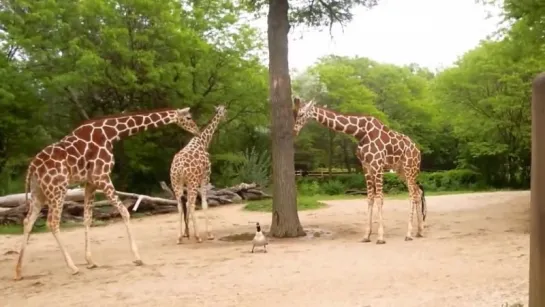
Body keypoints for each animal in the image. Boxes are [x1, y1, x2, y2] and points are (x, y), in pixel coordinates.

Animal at [15, 106, 201, 282]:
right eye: (188, 117)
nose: (197, 131)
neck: (112, 134)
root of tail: (32, 167)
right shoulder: (102, 177)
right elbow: (125, 212)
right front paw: (137, 258)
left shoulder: (90, 182)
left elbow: (87, 219)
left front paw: (90, 261)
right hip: (57, 189)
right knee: (52, 222)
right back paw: (73, 267)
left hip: (39, 192)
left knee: (28, 221)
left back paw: (18, 272)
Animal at [169, 104, 226, 244]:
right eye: (225, 111)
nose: (225, 118)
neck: (203, 141)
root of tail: (178, 167)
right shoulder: (205, 176)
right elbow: (204, 203)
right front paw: (209, 234)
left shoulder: (187, 183)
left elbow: (186, 205)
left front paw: (186, 233)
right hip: (193, 181)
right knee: (192, 204)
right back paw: (198, 236)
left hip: (176, 183)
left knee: (180, 206)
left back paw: (179, 237)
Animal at [294, 97, 424, 244]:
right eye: (295, 113)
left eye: (301, 114)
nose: (294, 130)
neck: (360, 132)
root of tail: (418, 151)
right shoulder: (366, 166)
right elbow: (369, 198)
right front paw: (366, 235)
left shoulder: (377, 165)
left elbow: (379, 198)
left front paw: (380, 237)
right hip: (401, 170)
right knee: (418, 192)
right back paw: (419, 231)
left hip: (409, 168)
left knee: (412, 195)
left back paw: (409, 234)